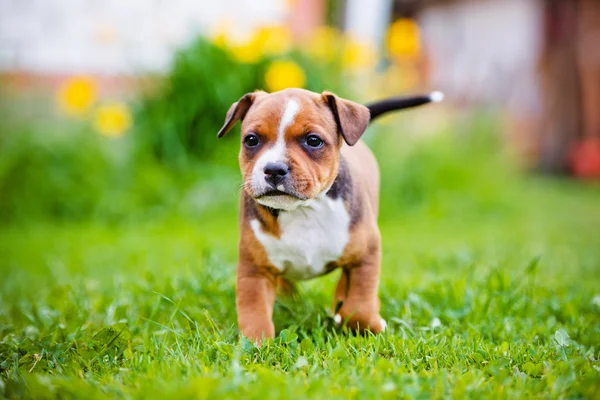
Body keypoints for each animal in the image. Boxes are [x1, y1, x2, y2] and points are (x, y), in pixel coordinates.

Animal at [218, 89, 442, 342]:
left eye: (313, 140)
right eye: (251, 140)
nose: (274, 169)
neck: (303, 210)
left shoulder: (365, 256)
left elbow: (360, 305)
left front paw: (367, 323)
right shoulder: (254, 270)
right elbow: (254, 313)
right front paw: (256, 343)